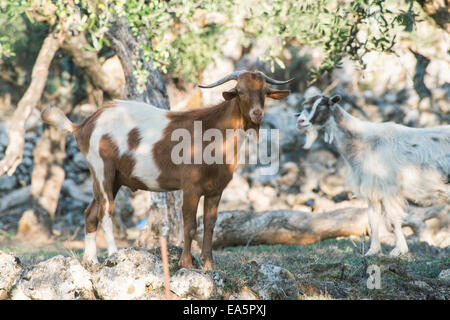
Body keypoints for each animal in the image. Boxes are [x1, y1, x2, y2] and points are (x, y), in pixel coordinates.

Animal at [40, 71, 290, 268]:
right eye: (239, 91)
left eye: (265, 91)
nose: (257, 113)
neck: (213, 134)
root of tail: (82, 125)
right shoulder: (190, 186)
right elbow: (190, 224)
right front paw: (186, 263)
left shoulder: (216, 190)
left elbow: (210, 225)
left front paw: (209, 264)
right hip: (102, 170)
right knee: (106, 211)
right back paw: (112, 254)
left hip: (114, 178)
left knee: (90, 212)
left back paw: (90, 260)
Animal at [298, 94, 448, 255]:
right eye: (305, 105)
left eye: (321, 106)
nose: (300, 122)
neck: (364, 142)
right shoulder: (372, 188)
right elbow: (373, 218)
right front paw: (373, 250)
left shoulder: (388, 187)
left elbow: (393, 218)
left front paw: (398, 250)